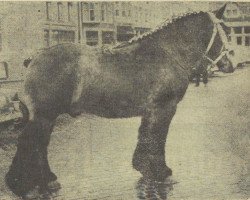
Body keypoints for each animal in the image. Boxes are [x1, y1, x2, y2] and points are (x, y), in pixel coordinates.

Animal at [6, 5, 234, 198]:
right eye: (225, 30)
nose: (231, 64)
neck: (167, 52)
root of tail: (34, 58)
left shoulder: (151, 111)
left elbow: (147, 136)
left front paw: (145, 169)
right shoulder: (164, 108)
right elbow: (158, 138)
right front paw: (162, 172)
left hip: (46, 117)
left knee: (39, 145)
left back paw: (43, 180)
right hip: (44, 116)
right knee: (31, 143)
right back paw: (24, 184)